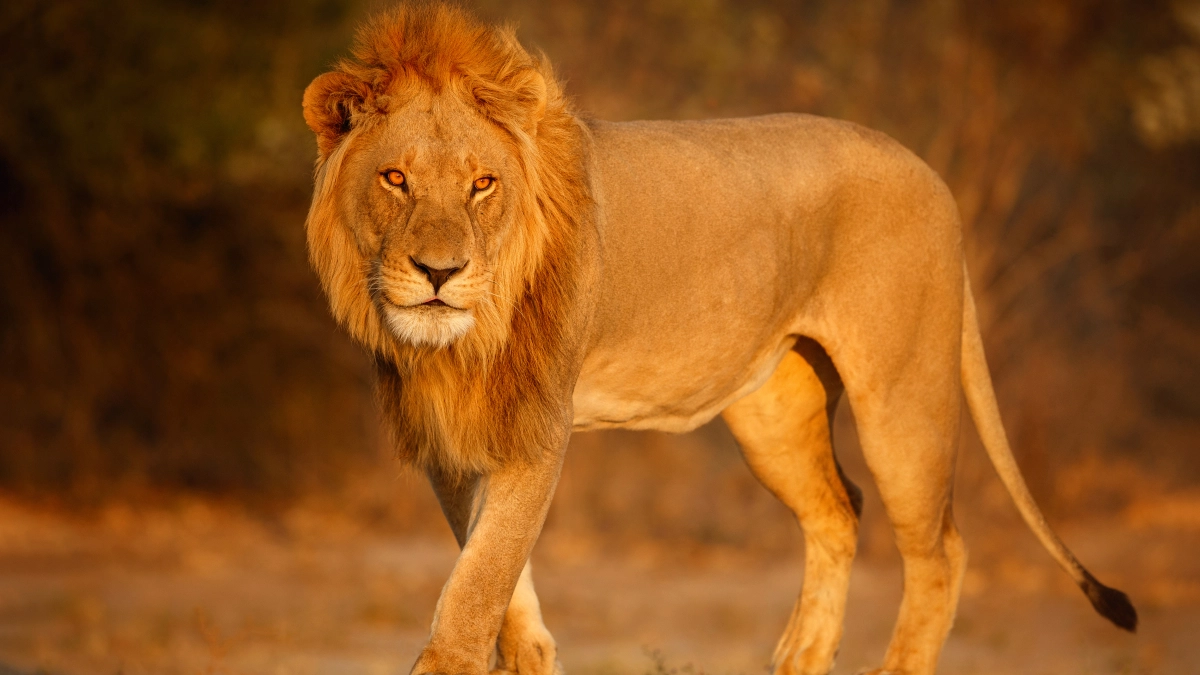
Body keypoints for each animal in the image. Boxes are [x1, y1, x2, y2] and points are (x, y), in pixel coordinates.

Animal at [300, 5, 1137, 675]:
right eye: (396, 178)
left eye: (482, 184)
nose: (440, 272)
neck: (458, 346)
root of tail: (932, 174)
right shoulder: (449, 434)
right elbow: (497, 576)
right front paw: (533, 652)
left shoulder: (539, 423)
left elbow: (480, 581)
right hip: (774, 410)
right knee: (840, 508)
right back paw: (800, 658)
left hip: (904, 396)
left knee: (939, 550)